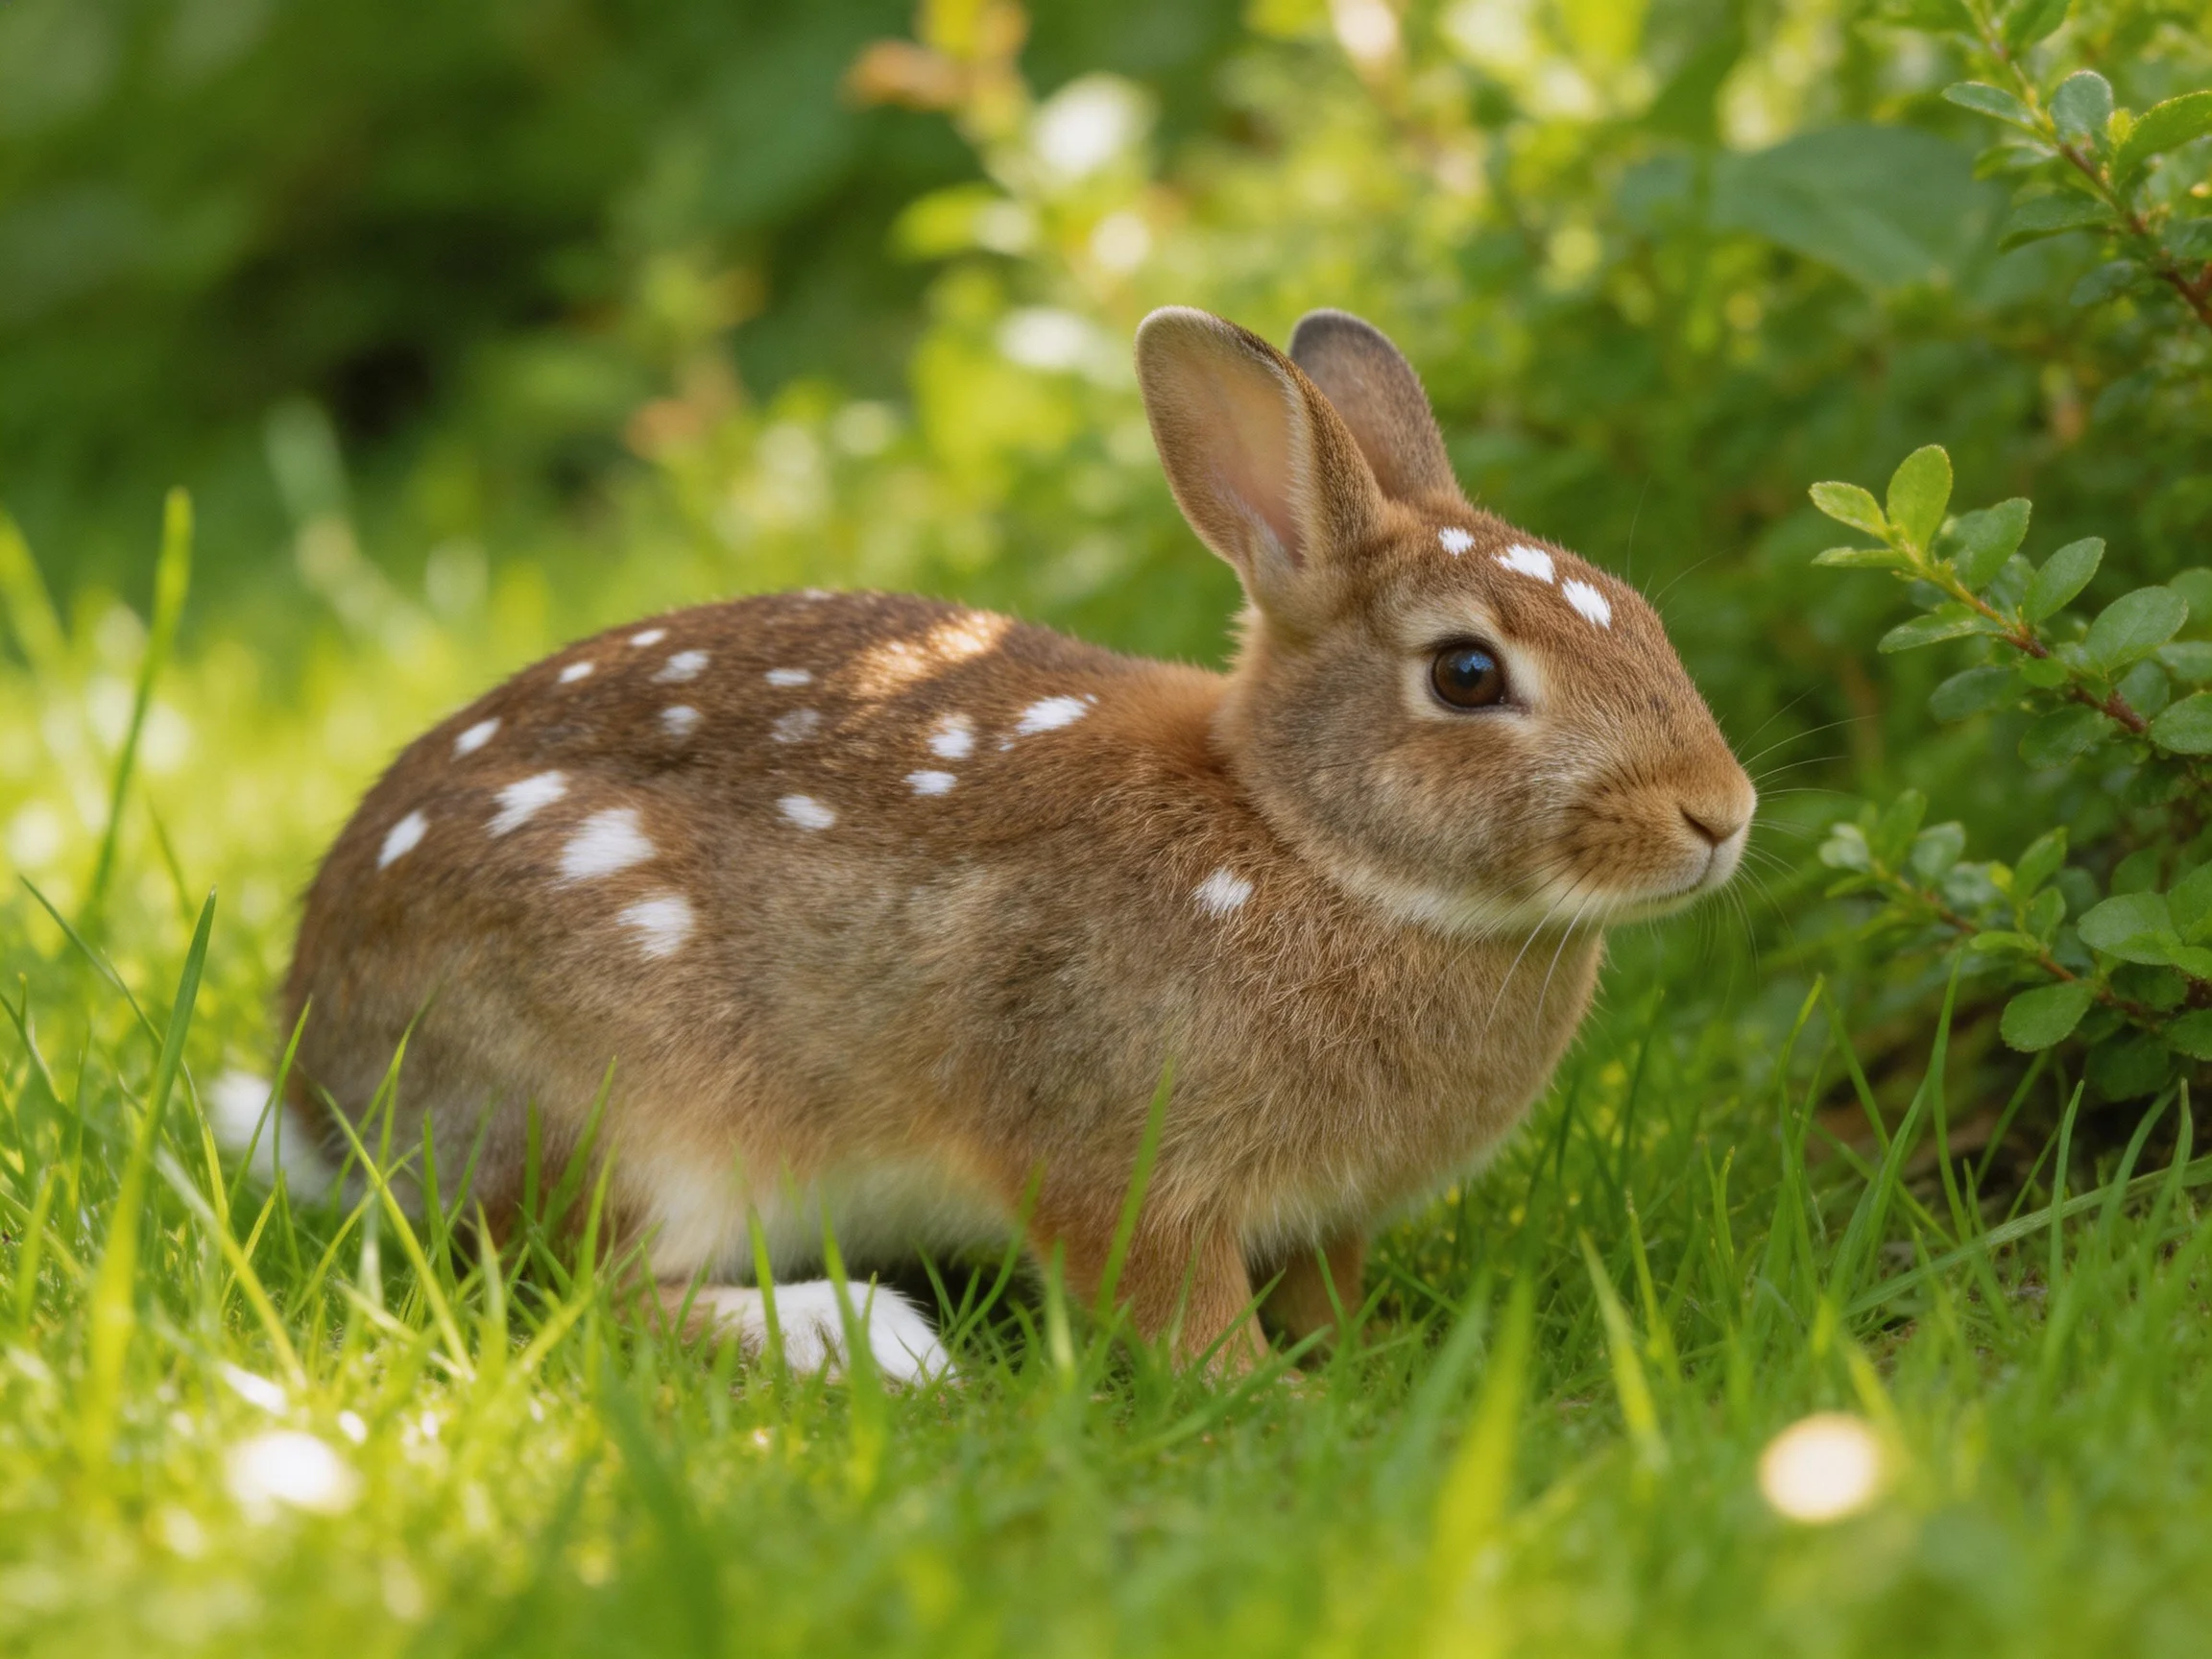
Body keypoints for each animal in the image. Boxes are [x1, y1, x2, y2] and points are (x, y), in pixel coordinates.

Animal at [259, 306, 1755, 1382]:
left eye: (1632, 611)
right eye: (1465, 675)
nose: (1720, 816)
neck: (1297, 838)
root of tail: (322, 1091)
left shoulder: (1326, 1215)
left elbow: (1323, 1284)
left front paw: (1364, 1355)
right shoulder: (1118, 1155)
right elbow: (1167, 1302)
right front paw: (1263, 1395)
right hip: (625, 1104)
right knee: (580, 1288)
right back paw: (864, 1342)